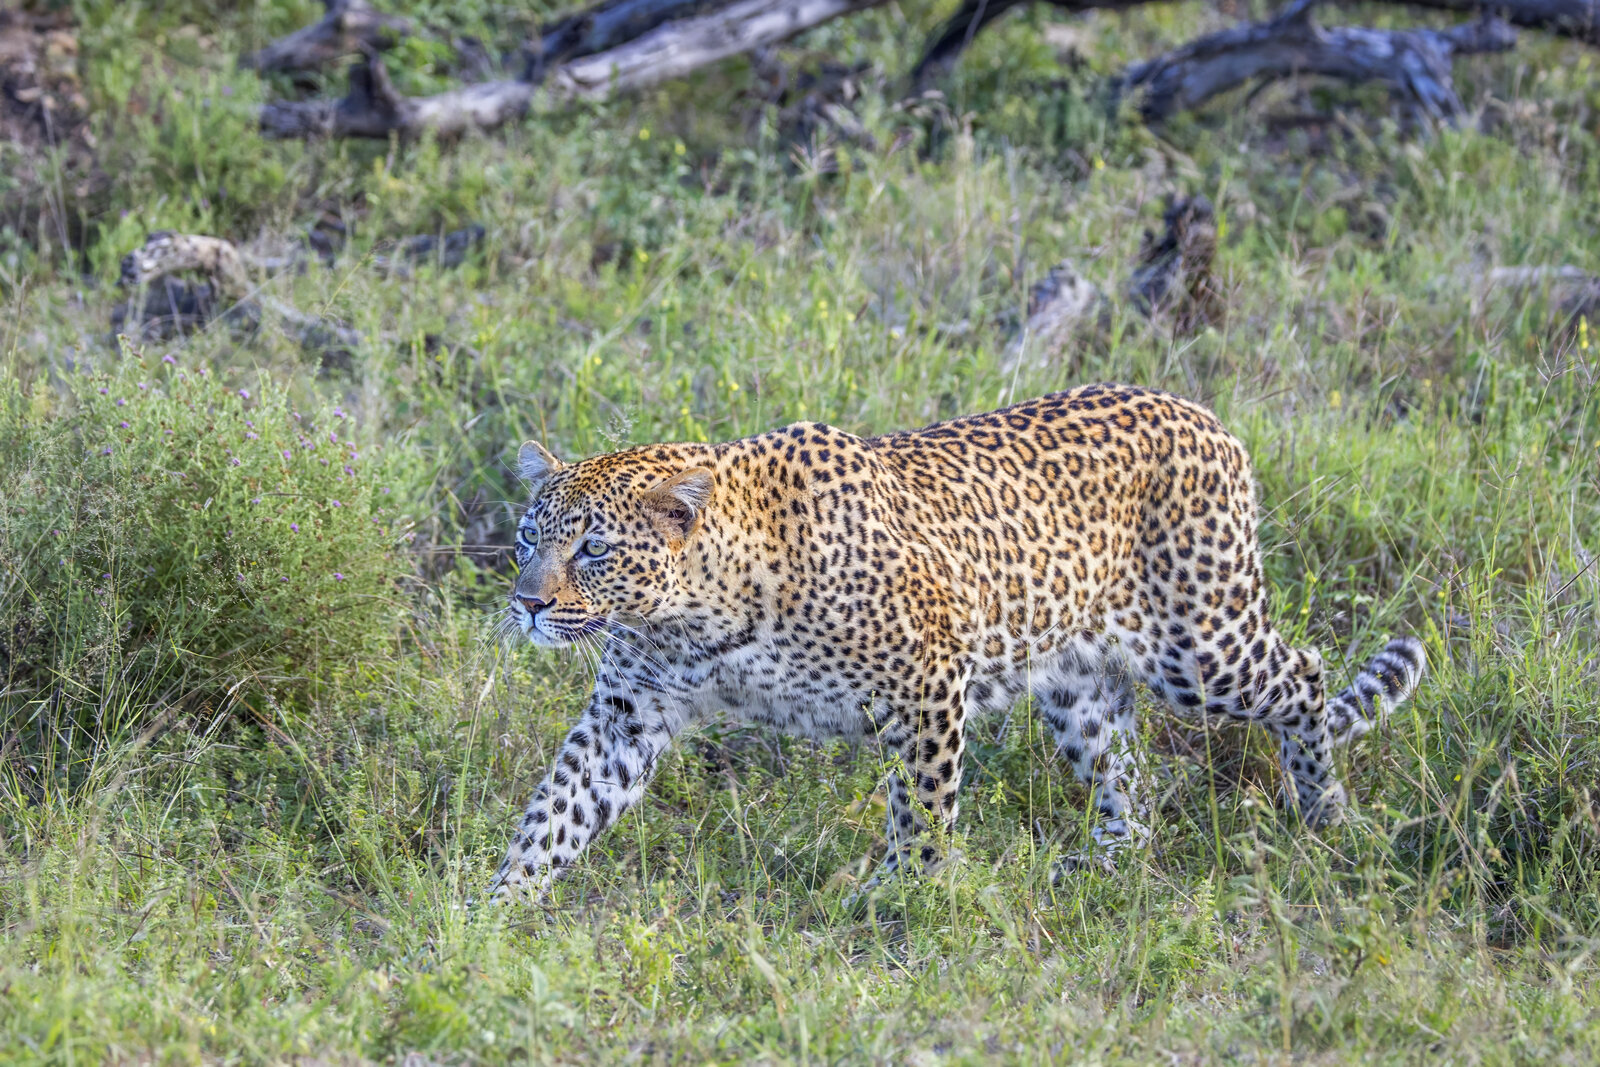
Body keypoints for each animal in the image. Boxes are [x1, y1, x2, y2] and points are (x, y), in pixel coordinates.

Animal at [490, 383, 1425, 901]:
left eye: (594, 549)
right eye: (529, 537)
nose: (528, 603)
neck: (695, 617)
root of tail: (1210, 419)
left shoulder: (927, 679)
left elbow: (922, 807)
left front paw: (900, 902)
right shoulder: (627, 714)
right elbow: (557, 809)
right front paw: (494, 911)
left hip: (1202, 645)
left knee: (1305, 677)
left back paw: (1326, 810)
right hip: (1080, 683)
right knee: (1127, 772)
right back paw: (1106, 862)